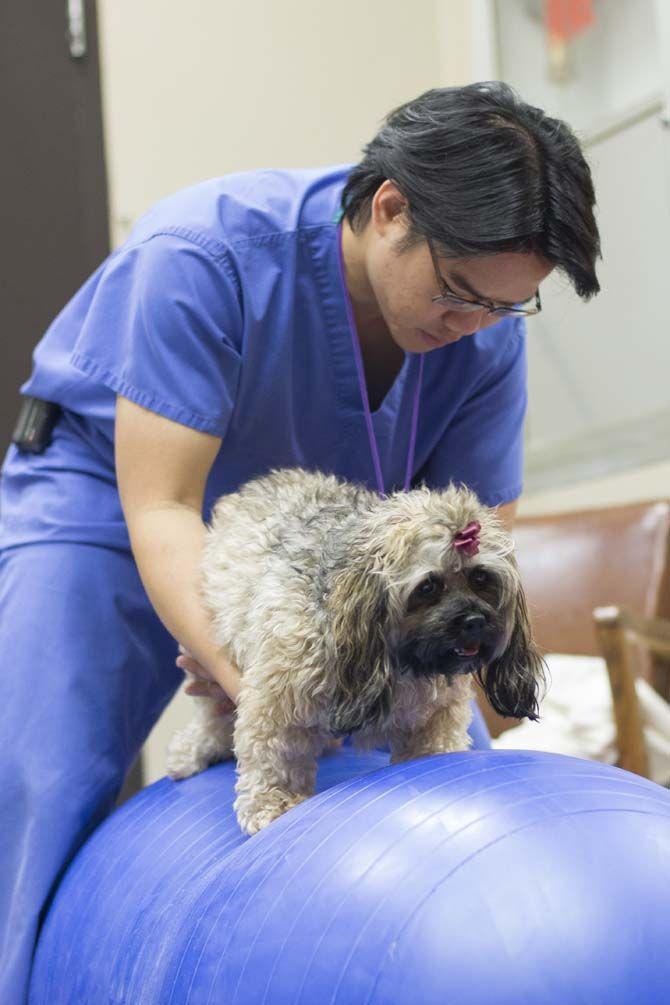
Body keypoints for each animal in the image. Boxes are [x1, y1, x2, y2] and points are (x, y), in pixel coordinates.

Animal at [166, 470, 546, 832]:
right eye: (428, 587)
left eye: (481, 578)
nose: (474, 621)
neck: (399, 661)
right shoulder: (278, 698)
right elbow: (275, 754)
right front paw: (275, 802)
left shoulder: (436, 715)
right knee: (214, 715)